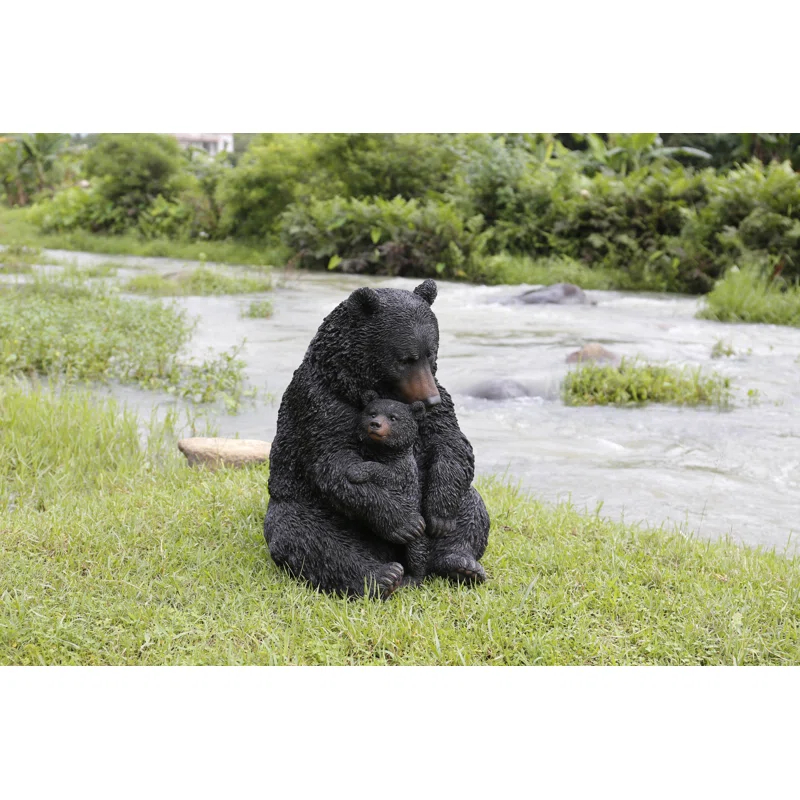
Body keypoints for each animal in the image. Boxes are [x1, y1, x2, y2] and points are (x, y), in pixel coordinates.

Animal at [347, 392, 429, 583]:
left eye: (393, 418)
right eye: (372, 413)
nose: (375, 424)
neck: (384, 453)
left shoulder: (402, 473)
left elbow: (385, 473)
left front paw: (356, 471)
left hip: (417, 531)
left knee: (417, 551)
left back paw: (413, 578)